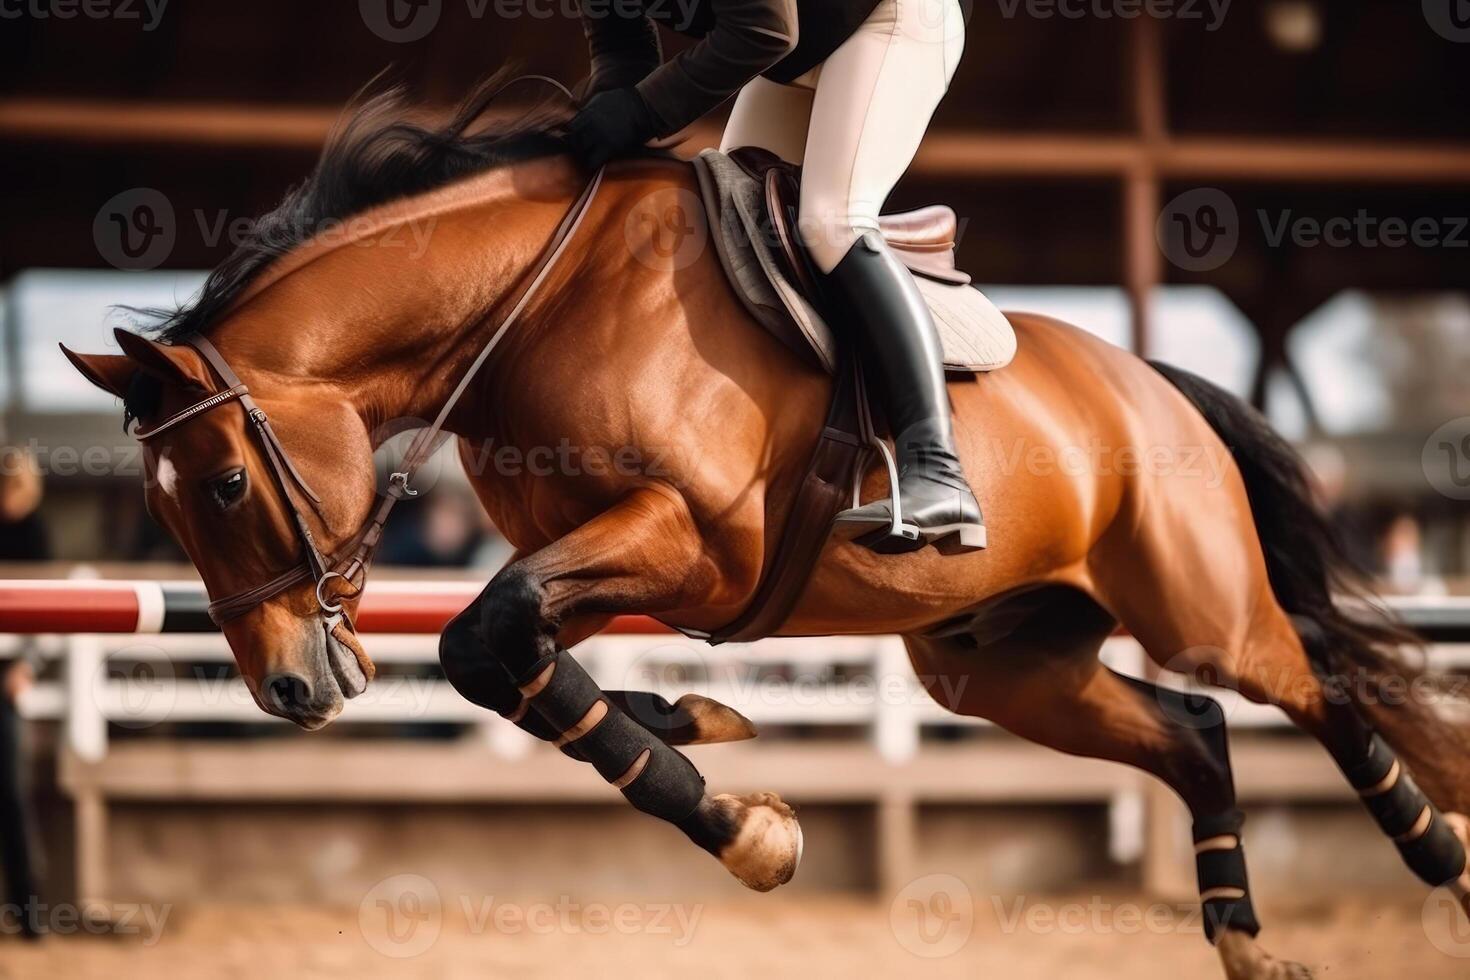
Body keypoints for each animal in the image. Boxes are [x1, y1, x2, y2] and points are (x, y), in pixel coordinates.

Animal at [60, 80, 1470, 975]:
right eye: (161, 505)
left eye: (224, 486)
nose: (291, 689)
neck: (530, 304)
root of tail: (1152, 379)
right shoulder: (609, 559)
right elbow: (512, 657)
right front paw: (702, 739)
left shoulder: (689, 540)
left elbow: (490, 640)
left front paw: (745, 818)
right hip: (999, 663)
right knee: (1194, 730)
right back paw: (1242, 935)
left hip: (1199, 605)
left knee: (1318, 686)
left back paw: (1437, 852)